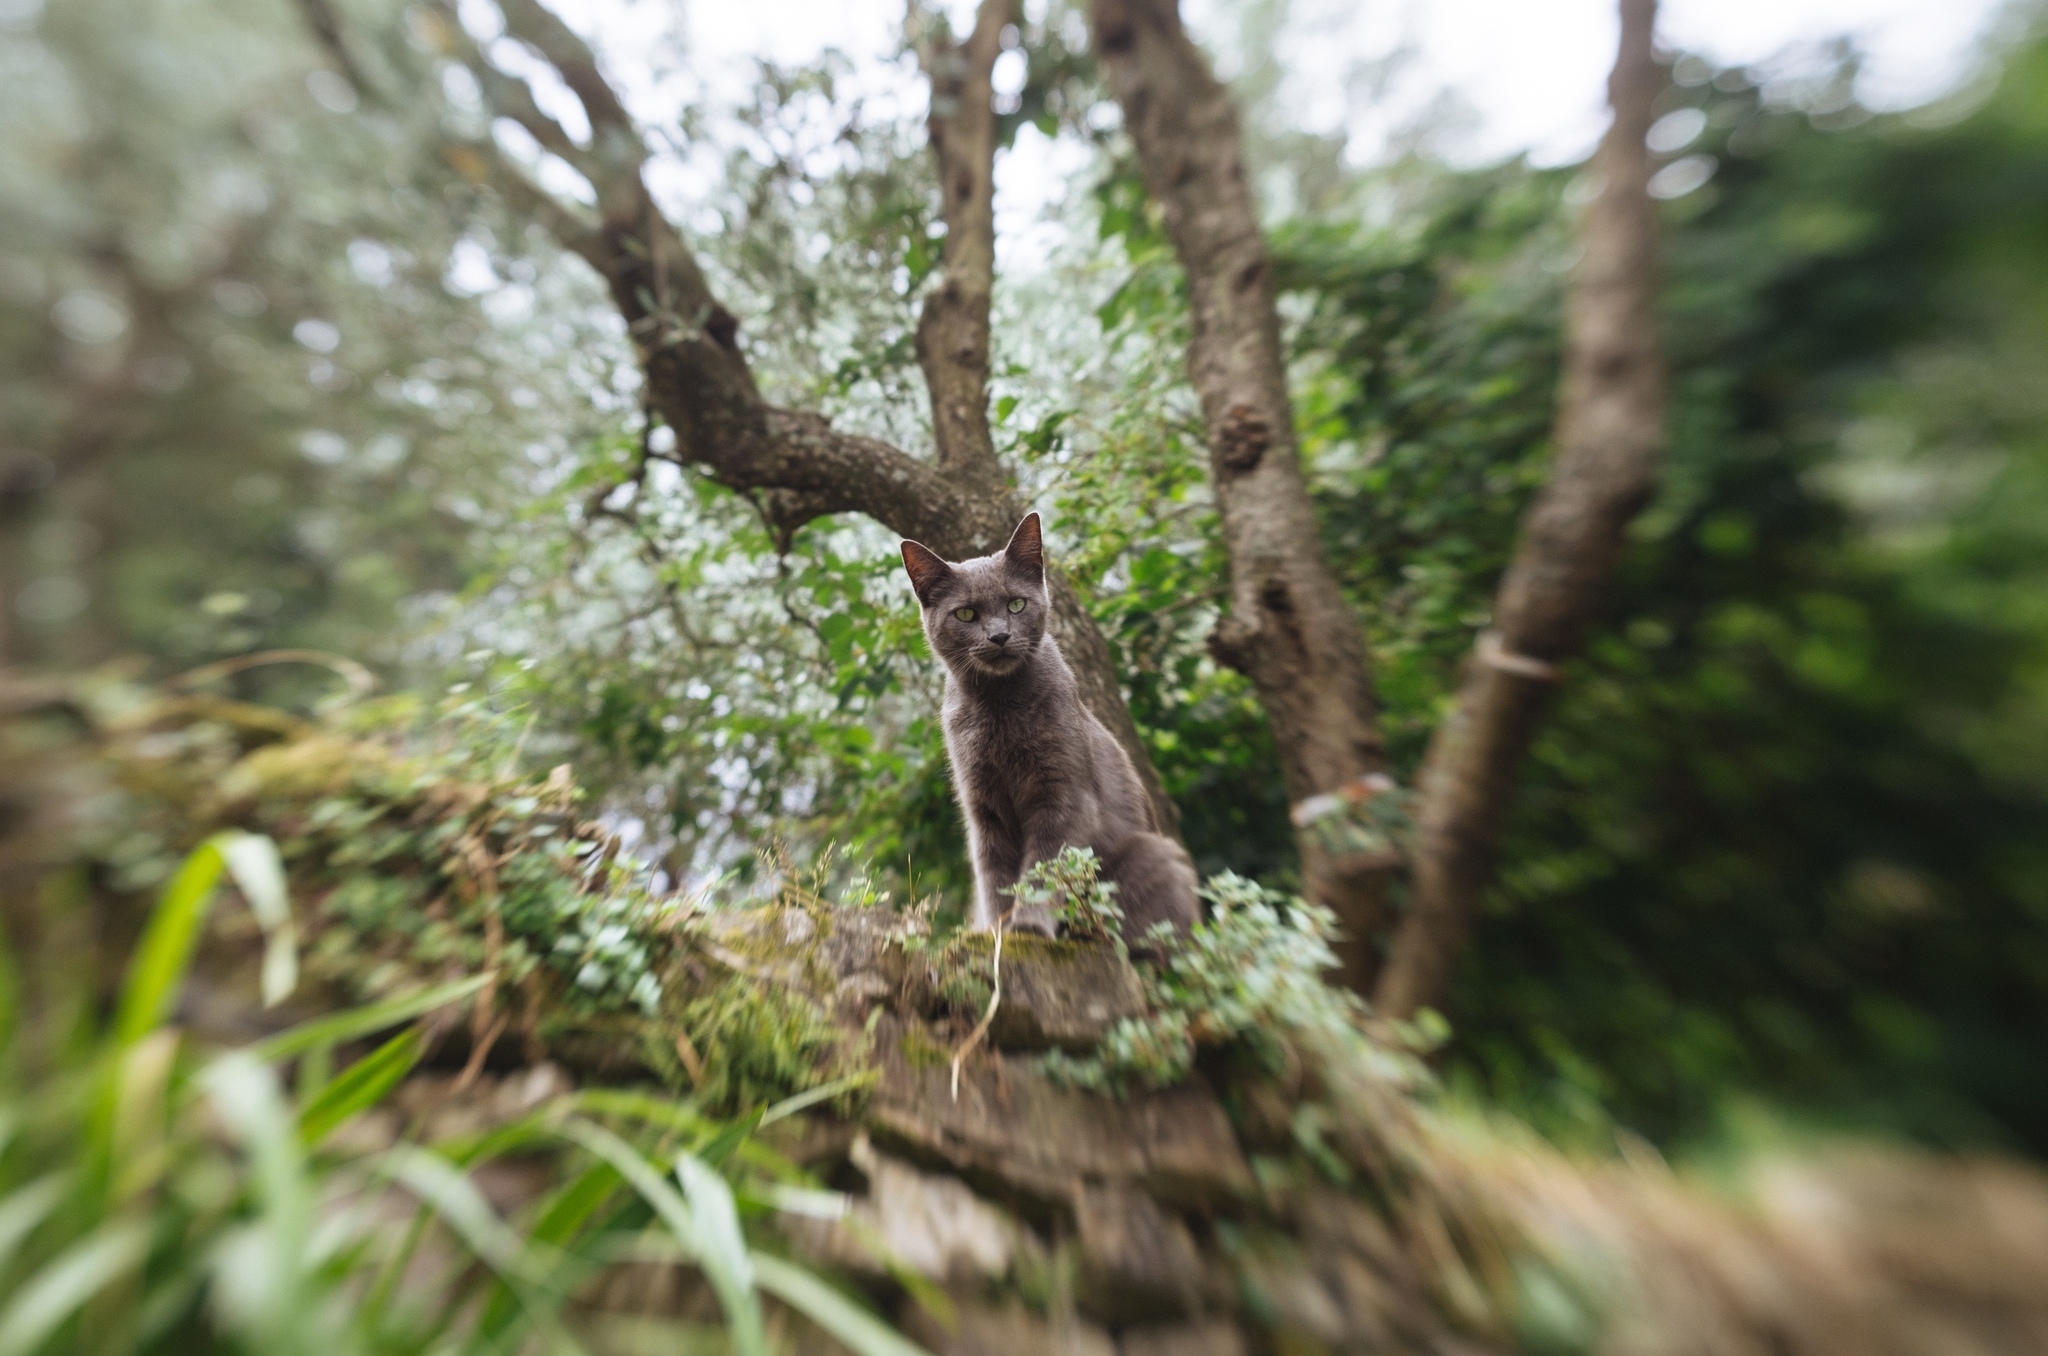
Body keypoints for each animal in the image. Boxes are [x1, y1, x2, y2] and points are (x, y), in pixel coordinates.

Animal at [901, 512, 1196, 946]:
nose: (999, 636)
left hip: (1153, 855)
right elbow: (995, 875)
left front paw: (1028, 925)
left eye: (1016, 604)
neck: (998, 707)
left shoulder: (1062, 795)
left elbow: (1045, 868)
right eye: (966, 614)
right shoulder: (983, 808)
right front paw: (997, 930)